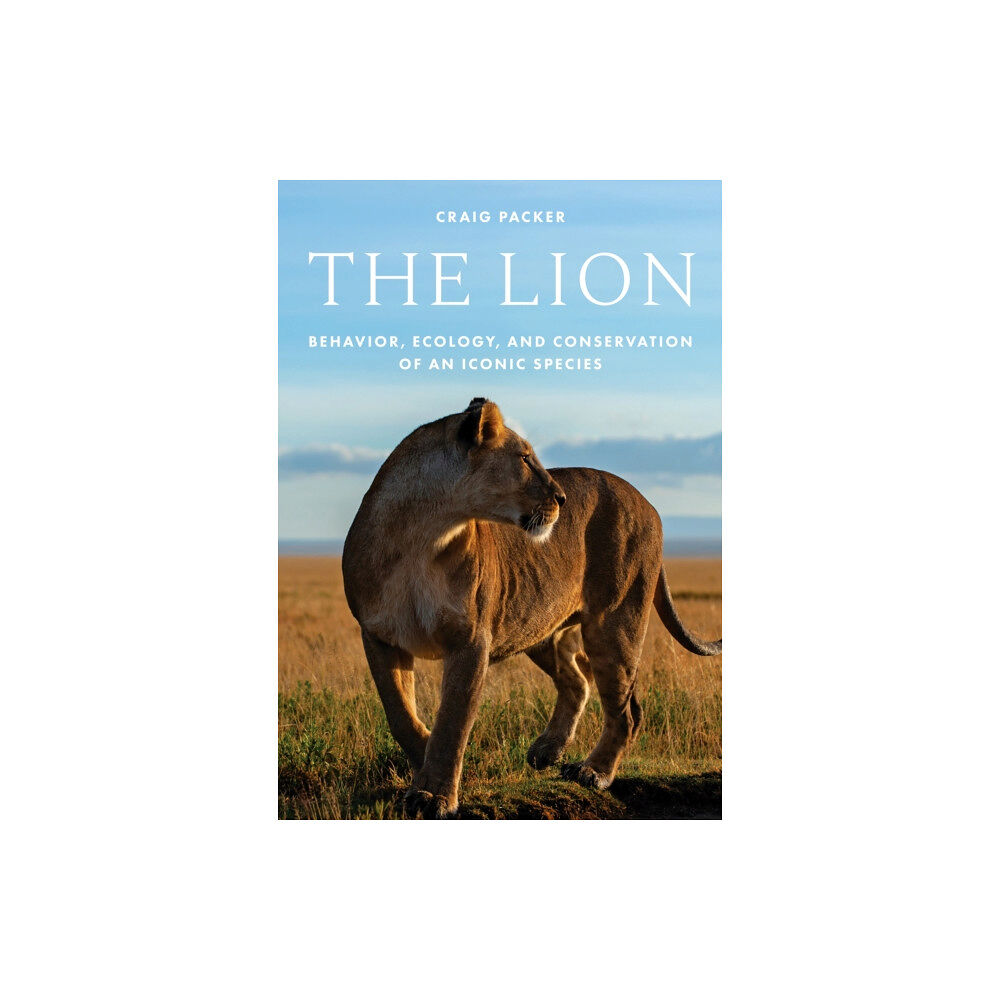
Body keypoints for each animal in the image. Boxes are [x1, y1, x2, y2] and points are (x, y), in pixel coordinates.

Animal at [342, 398, 721, 818]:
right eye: (524, 458)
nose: (562, 499)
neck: (423, 536)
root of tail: (648, 503)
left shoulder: (471, 640)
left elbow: (453, 720)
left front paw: (434, 794)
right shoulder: (379, 635)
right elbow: (401, 715)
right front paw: (426, 766)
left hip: (614, 622)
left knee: (625, 711)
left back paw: (593, 772)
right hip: (538, 627)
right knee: (578, 679)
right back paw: (548, 751)